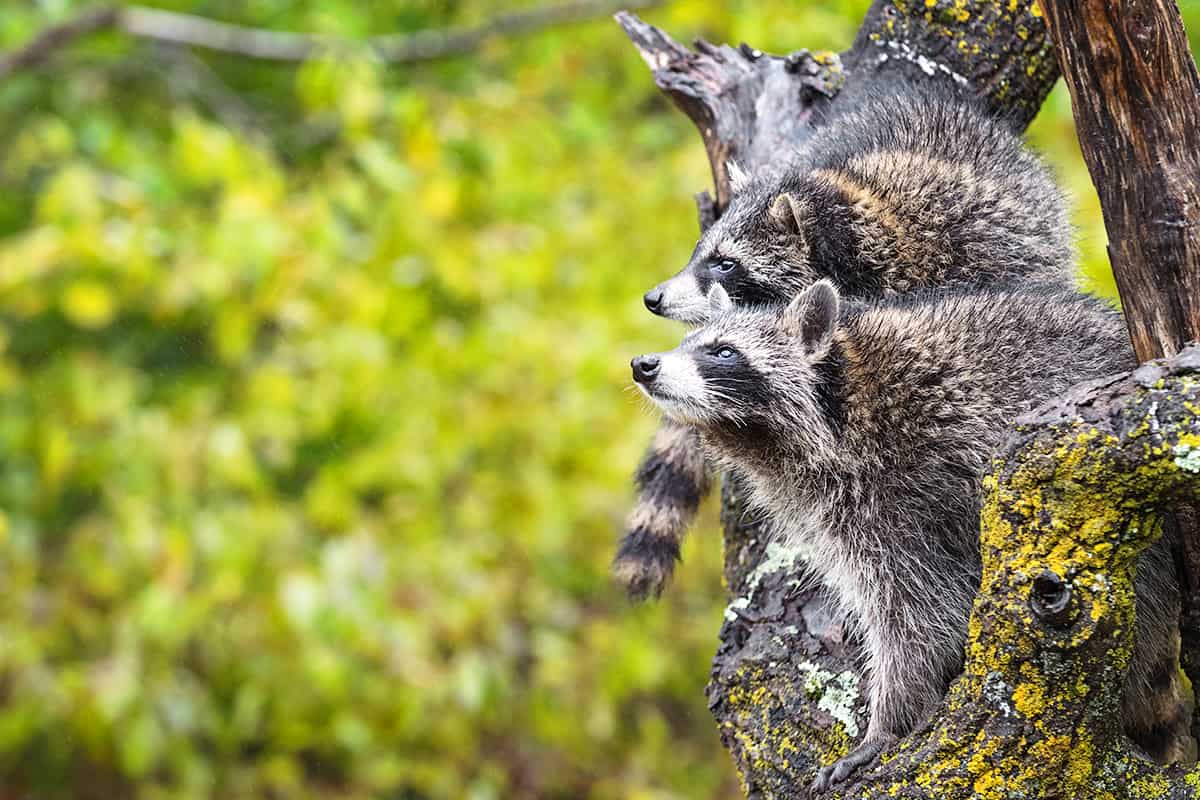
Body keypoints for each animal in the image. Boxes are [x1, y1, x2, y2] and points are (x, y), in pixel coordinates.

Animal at [633, 281, 1185, 786]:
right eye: (690, 343)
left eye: (723, 351)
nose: (643, 364)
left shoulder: (909, 486)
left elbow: (919, 614)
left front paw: (888, 721)